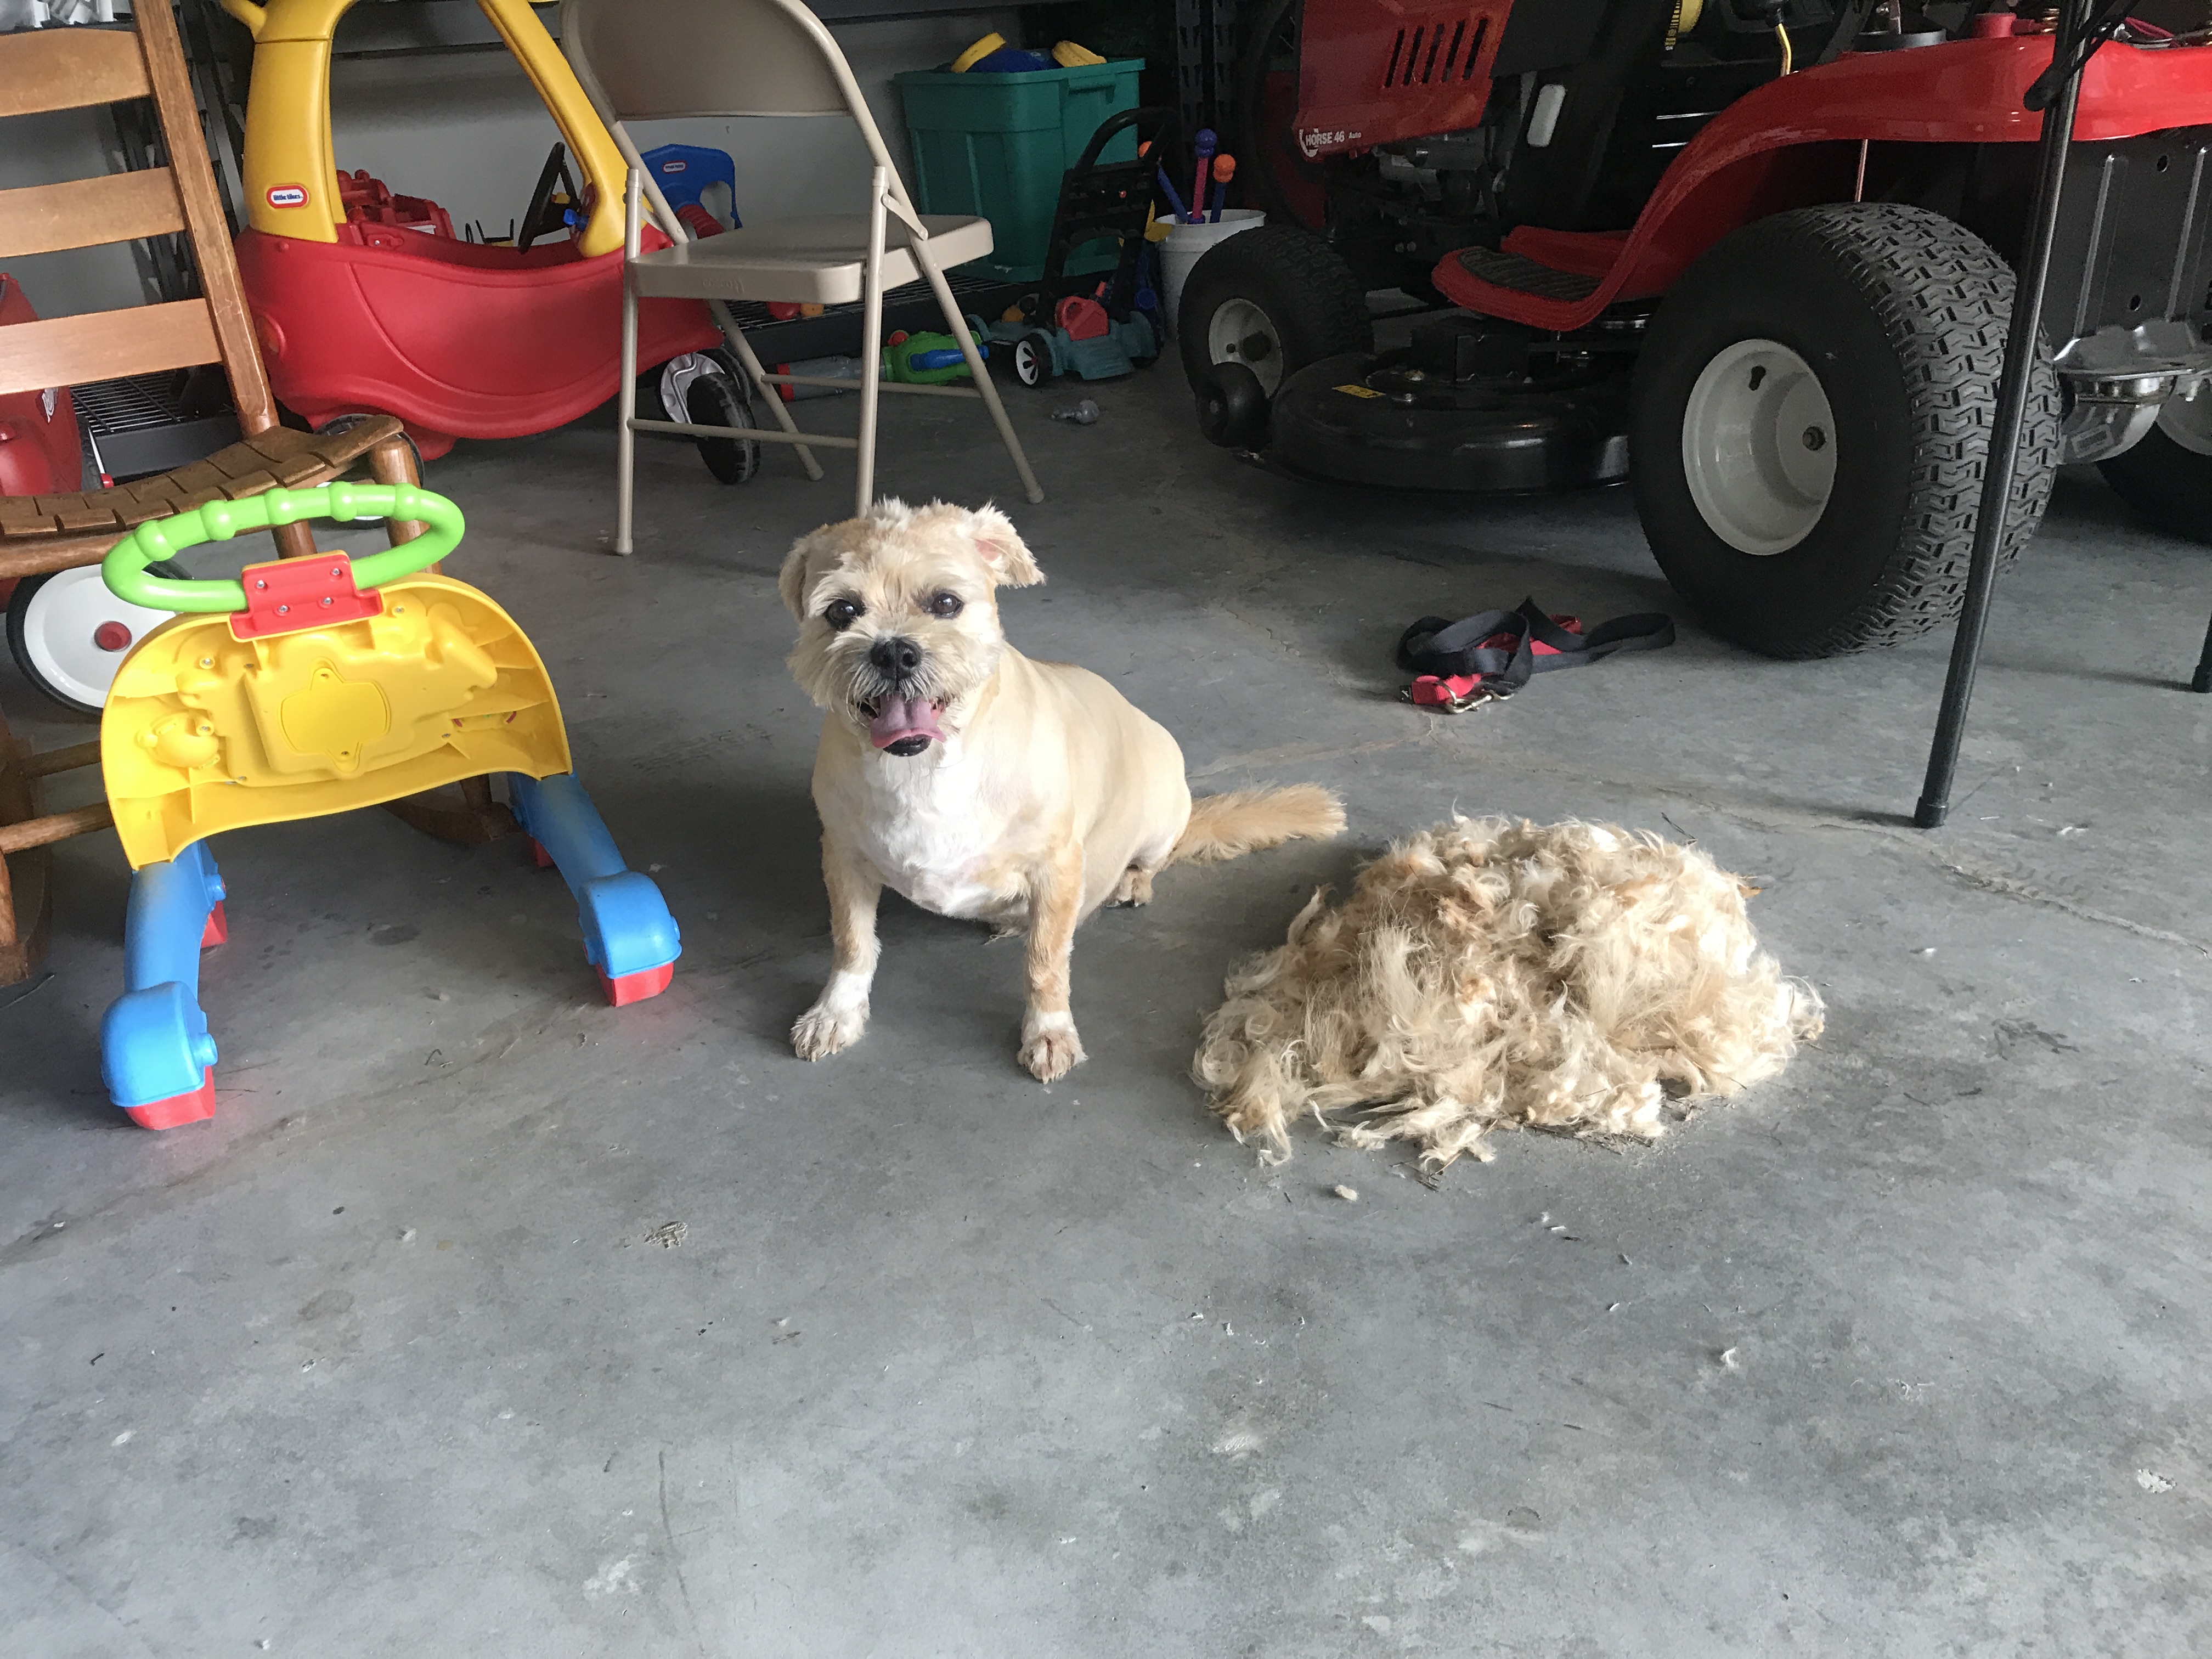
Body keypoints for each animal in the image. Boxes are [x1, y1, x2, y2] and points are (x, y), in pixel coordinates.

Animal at [778, 499, 1344, 1082]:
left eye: (946, 603)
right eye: (842, 611)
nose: (893, 652)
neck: (928, 767)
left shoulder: (1057, 869)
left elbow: (1045, 962)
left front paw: (1048, 1032)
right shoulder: (843, 858)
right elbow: (852, 943)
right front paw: (836, 1013)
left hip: (1163, 817)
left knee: (1152, 863)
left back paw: (1127, 884)